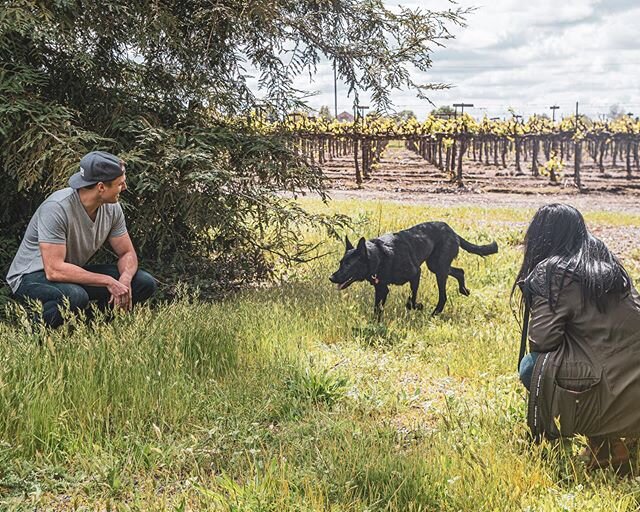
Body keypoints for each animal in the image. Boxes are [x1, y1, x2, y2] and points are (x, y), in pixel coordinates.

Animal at [330, 222, 500, 318]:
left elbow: (411, 301)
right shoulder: (381, 288)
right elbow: (377, 309)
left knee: (443, 296)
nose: (331, 278)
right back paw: (463, 290)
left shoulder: (415, 274)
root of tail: (452, 231)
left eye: (349, 265)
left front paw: (418, 306)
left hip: (439, 269)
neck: (379, 256)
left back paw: (435, 313)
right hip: (436, 265)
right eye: (340, 263)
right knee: (459, 271)